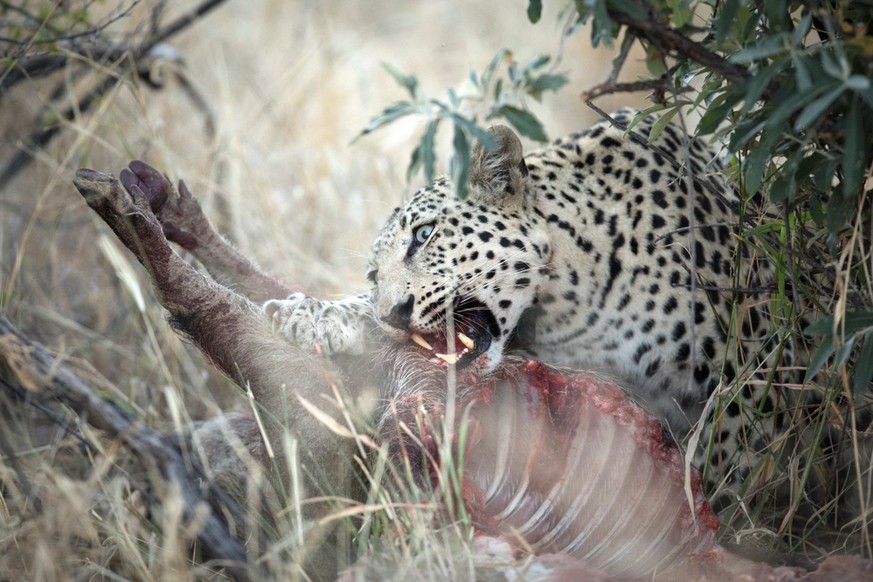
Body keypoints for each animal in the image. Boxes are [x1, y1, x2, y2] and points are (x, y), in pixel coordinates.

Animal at [266, 110, 804, 488]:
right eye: (374, 274)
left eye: (423, 234)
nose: (395, 315)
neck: (569, 302)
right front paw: (307, 313)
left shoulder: (756, 373)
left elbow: (723, 461)